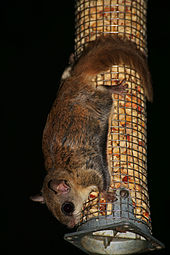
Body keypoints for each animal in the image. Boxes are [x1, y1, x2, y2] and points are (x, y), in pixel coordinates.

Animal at [30, 34, 153, 228]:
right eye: (53, 213)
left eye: (67, 207)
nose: (71, 226)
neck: (66, 173)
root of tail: (75, 81)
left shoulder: (89, 171)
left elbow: (102, 180)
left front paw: (105, 194)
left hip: (99, 102)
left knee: (104, 91)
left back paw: (115, 88)